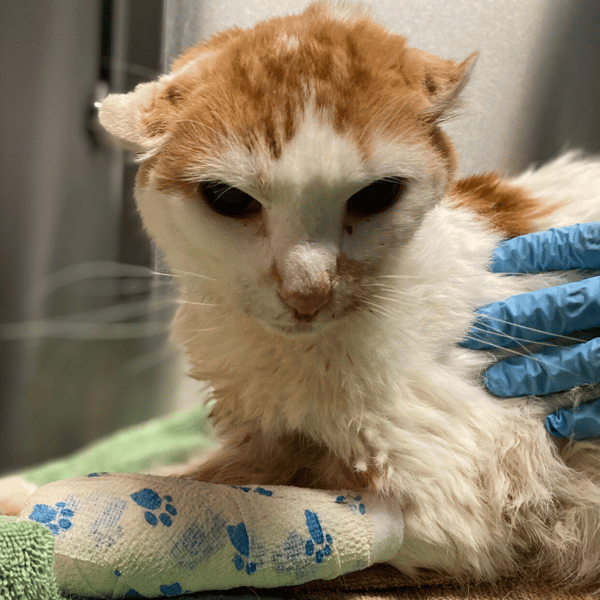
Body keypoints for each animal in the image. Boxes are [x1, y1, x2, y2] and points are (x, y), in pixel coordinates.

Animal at [4, 0, 600, 588]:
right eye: (229, 199)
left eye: (376, 195)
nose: (308, 291)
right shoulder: (263, 435)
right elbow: (197, 471)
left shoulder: (440, 499)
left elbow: (242, 495)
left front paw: (71, 515)